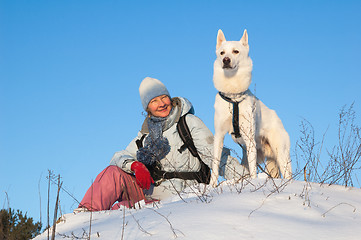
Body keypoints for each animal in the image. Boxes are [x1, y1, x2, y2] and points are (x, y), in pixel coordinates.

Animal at [210, 28, 292, 186]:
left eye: (235, 51)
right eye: (222, 53)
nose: (226, 60)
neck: (233, 96)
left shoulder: (249, 140)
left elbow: (254, 170)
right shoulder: (219, 136)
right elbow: (215, 166)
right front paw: (211, 187)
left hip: (280, 153)